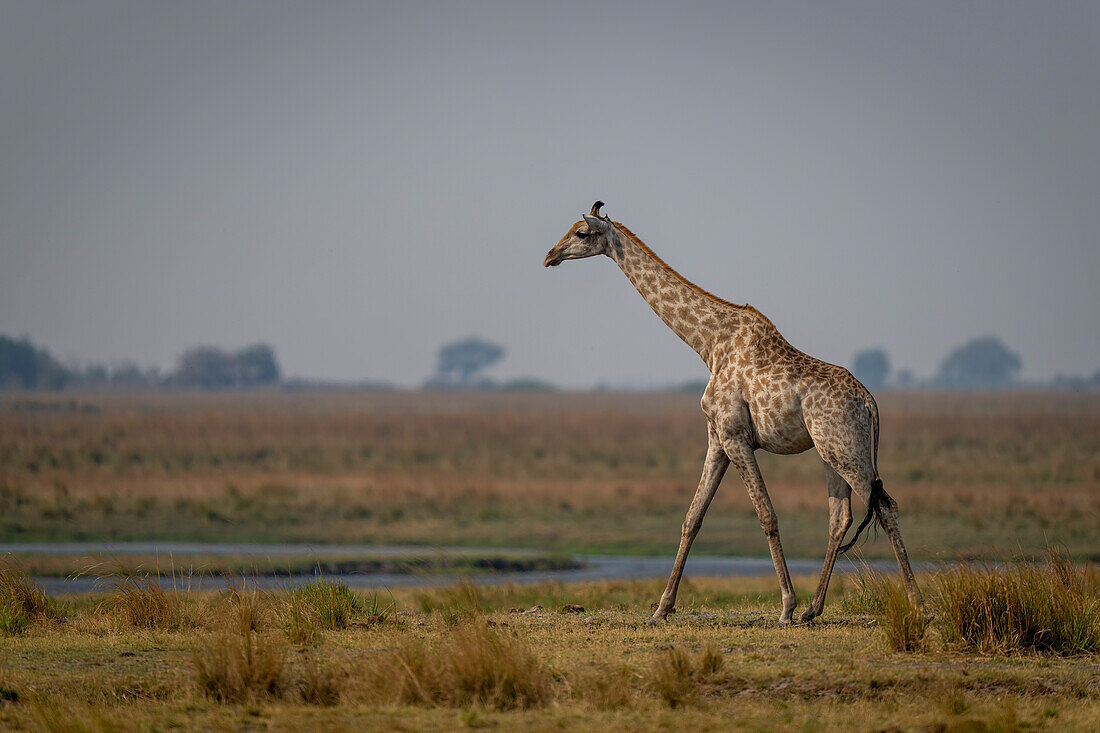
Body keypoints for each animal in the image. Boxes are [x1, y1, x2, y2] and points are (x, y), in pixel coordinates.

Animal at [545, 200, 924, 620]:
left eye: (581, 233)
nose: (550, 256)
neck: (708, 343)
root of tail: (870, 404)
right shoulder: (716, 438)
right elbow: (692, 517)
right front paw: (661, 609)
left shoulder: (735, 436)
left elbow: (766, 514)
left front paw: (785, 607)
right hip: (831, 453)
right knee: (840, 517)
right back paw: (814, 610)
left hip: (848, 451)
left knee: (886, 507)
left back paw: (914, 604)